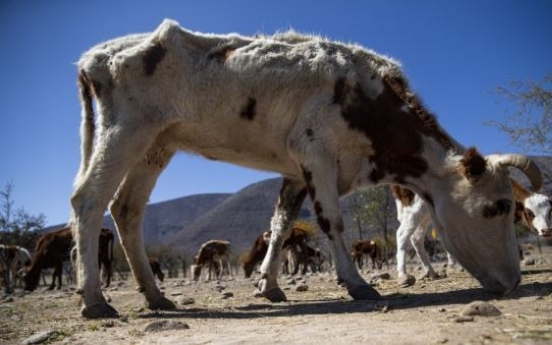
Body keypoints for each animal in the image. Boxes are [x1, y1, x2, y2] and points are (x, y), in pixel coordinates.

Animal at [392, 180, 552, 288]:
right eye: (529, 212)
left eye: (550, 211)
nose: (546, 230)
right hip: (415, 209)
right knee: (402, 234)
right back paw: (403, 274)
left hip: (426, 214)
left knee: (416, 237)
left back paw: (431, 273)